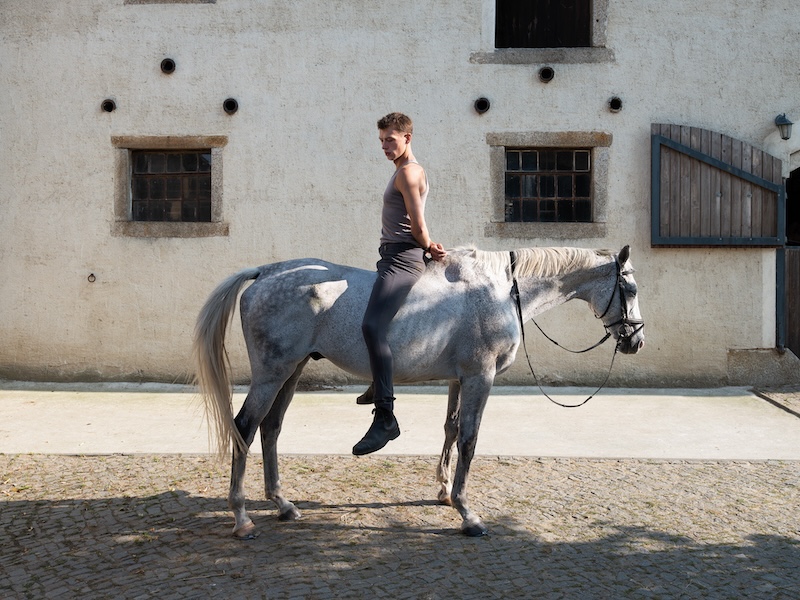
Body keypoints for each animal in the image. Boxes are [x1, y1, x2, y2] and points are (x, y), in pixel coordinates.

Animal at [193, 245, 644, 538]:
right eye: (632, 290)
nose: (635, 341)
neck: (499, 291)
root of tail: (266, 272)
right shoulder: (480, 377)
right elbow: (469, 439)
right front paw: (468, 513)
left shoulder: (459, 379)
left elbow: (450, 430)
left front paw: (445, 492)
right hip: (273, 372)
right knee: (244, 428)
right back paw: (242, 518)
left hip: (292, 369)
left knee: (270, 429)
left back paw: (282, 504)